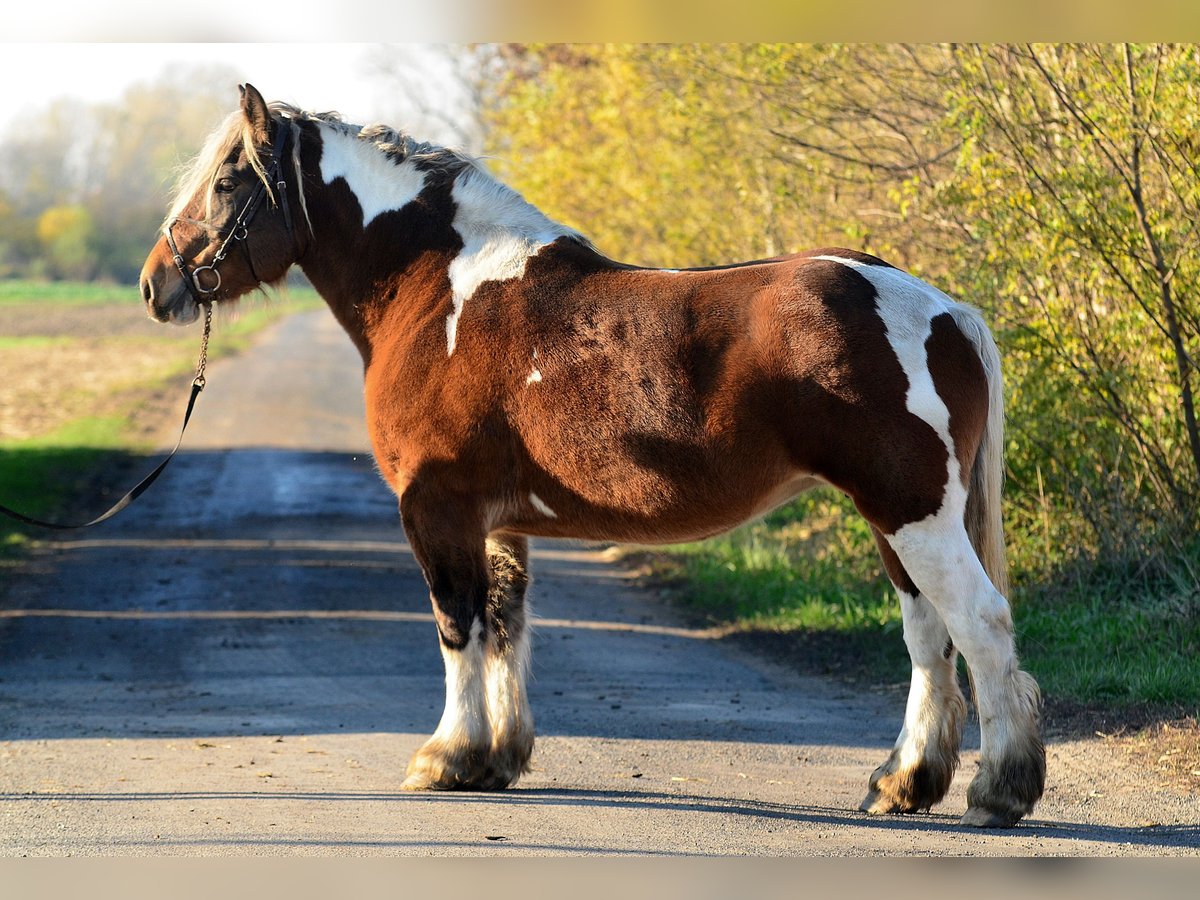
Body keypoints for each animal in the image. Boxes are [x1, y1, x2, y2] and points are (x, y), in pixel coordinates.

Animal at [139, 84, 1045, 828]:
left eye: (227, 183)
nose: (157, 286)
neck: (440, 291)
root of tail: (944, 308)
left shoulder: (437, 508)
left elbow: (457, 625)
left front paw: (446, 758)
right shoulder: (499, 522)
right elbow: (505, 624)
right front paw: (497, 760)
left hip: (912, 511)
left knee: (981, 624)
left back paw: (999, 790)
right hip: (895, 518)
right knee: (928, 636)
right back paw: (902, 783)